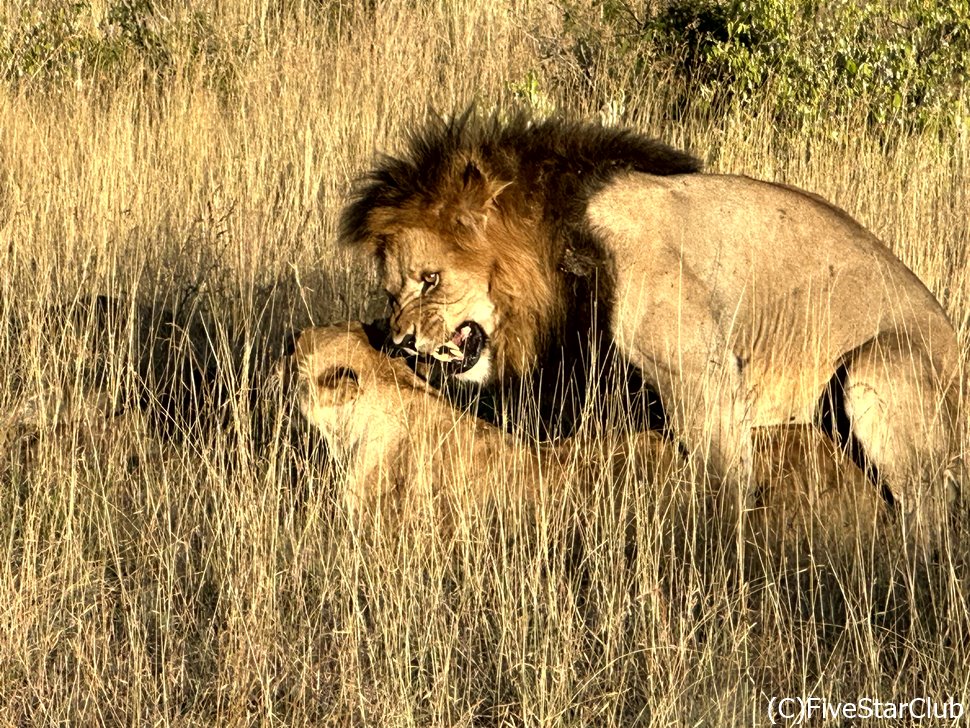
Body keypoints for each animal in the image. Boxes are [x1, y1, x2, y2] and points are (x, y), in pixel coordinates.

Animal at [340, 112, 960, 544]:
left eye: (430, 280)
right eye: (392, 293)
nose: (399, 340)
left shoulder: (701, 379)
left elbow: (730, 486)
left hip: (873, 374)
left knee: (933, 510)